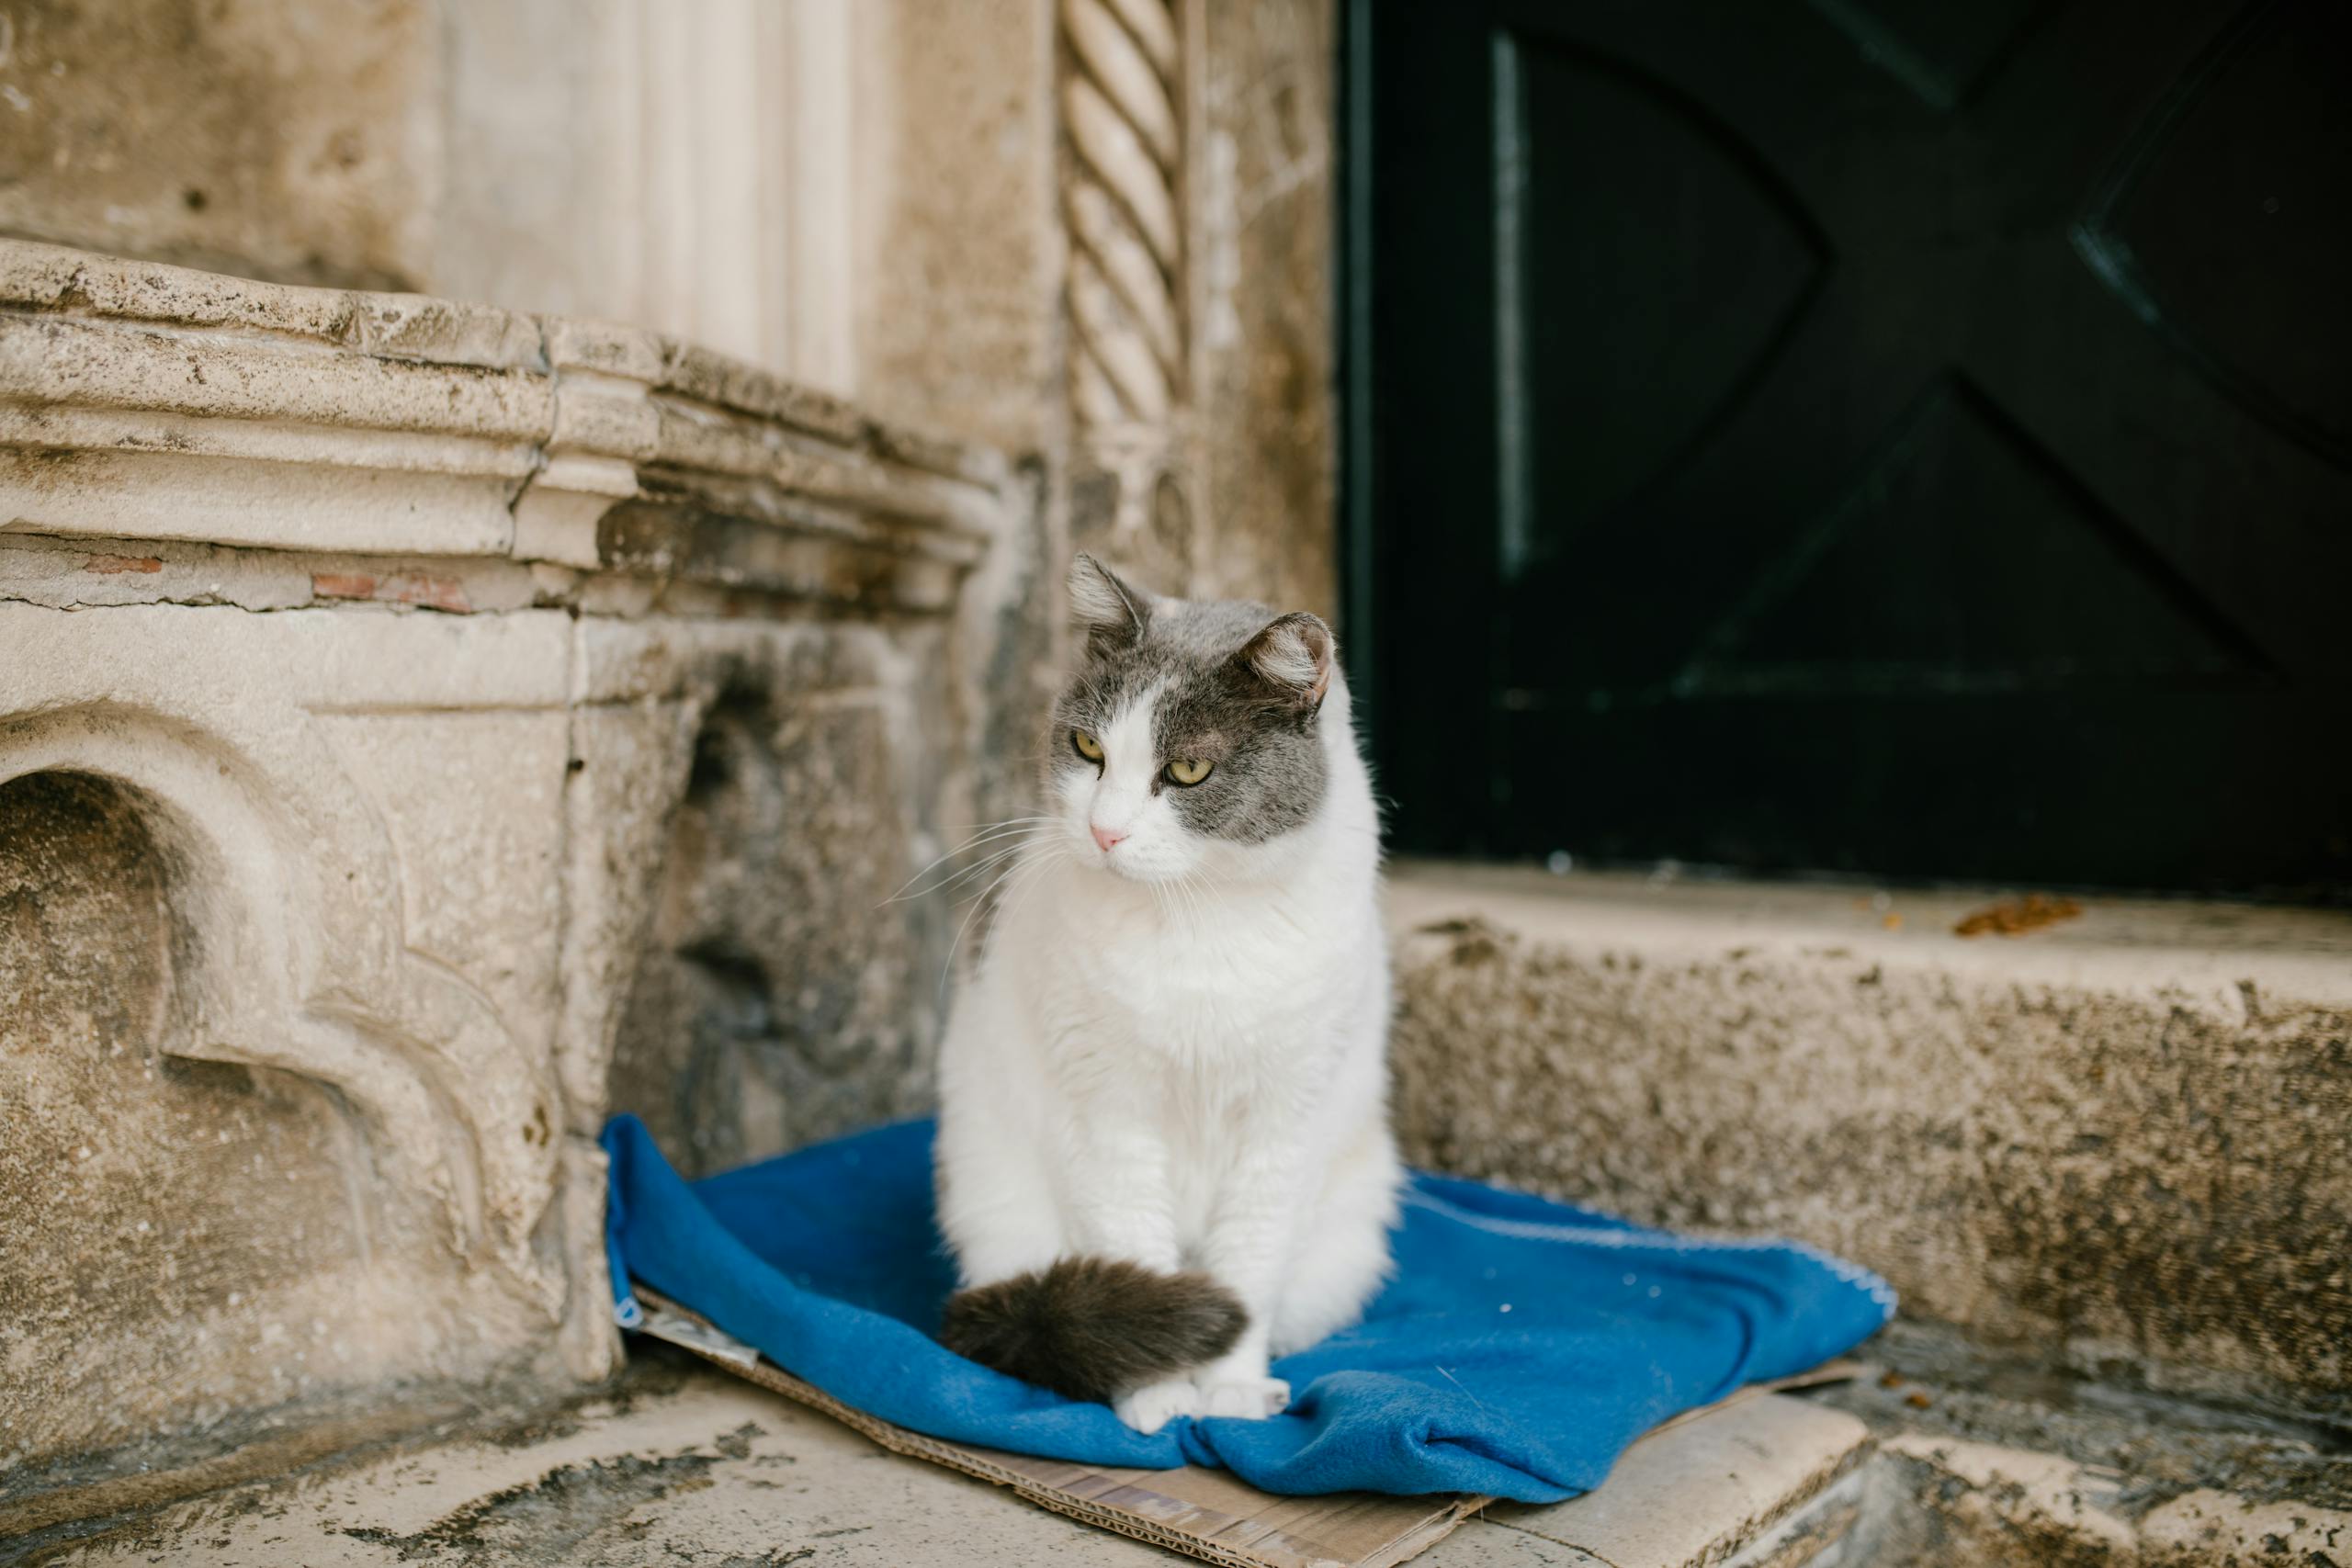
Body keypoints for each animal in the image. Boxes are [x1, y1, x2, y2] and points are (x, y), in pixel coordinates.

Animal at [926, 552, 1392, 1438]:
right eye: (1087, 747)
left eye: (1187, 770)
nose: (1104, 831)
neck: (1197, 918)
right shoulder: (1108, 1112)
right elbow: (1134, 1239)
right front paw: (1159, 1391)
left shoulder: (1286, 1121)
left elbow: (1249, 1261)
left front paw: (1233, 1391)